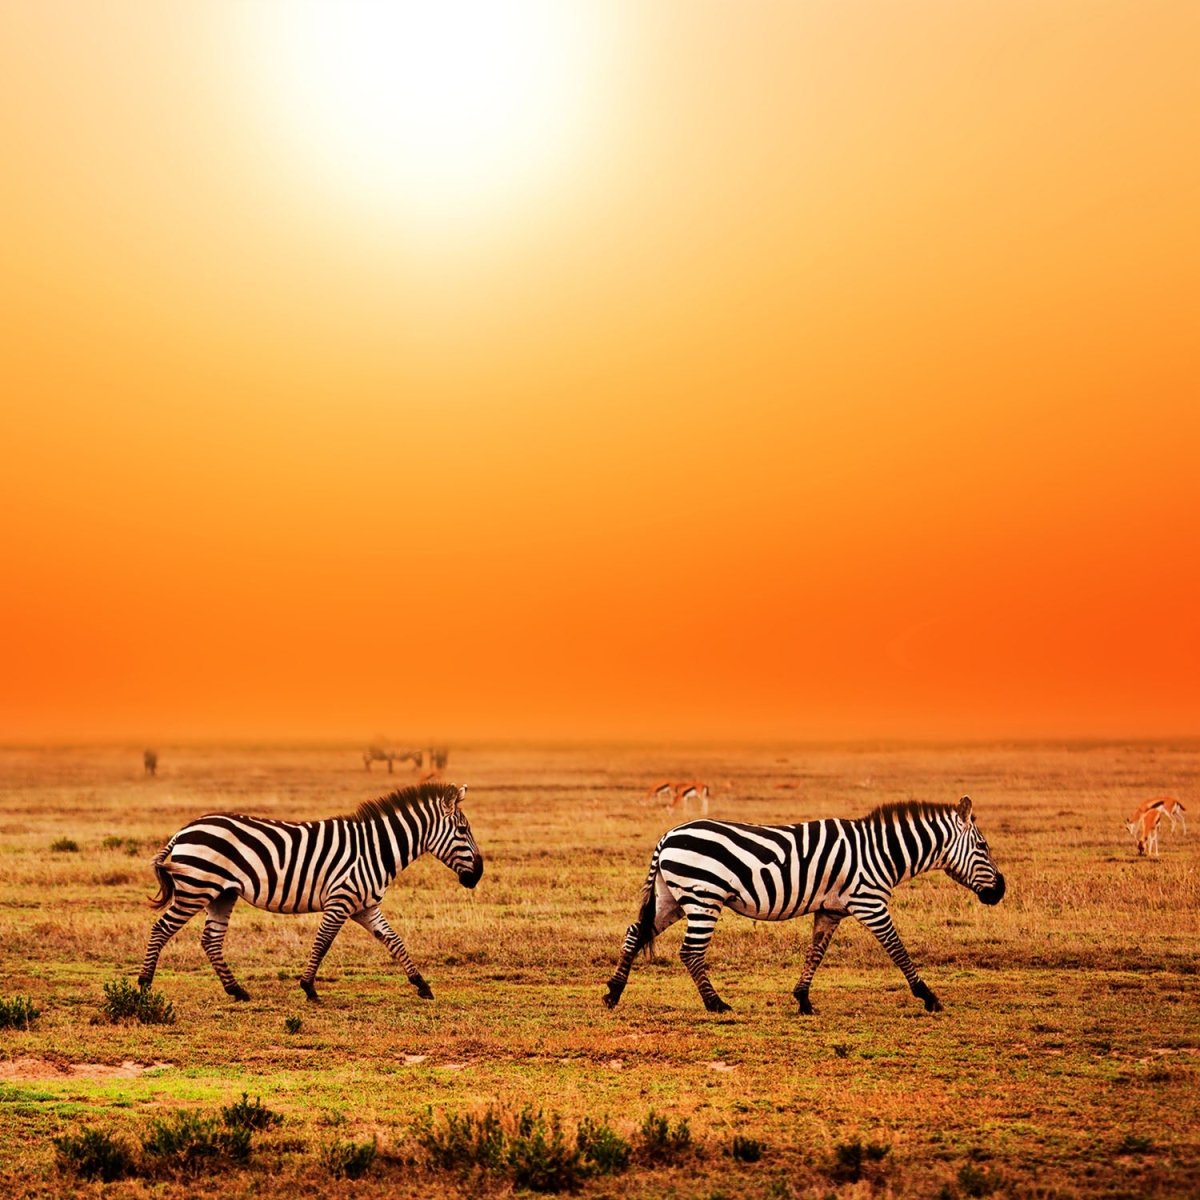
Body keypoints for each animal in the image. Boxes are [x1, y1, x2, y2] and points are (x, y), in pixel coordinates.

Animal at [137, 781, 483, 1004]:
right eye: (463, 830)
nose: (478, 875)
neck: (375, 849)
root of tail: (184, 830)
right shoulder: (341, 900)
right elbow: (323, 942)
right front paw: (309, 988)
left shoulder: (365, 906)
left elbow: (394, 941)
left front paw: (422, 985)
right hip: (196, 888)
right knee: (161, 929)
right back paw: (144, 985)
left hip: (222, 893)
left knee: (210, 940)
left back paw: (237, 991)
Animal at [603, 795, 1004, 1015]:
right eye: (983, 846)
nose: (1000, 891)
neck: (882, 852)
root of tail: (668, 835)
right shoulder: (870, 902)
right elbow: (898, 949)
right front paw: (929, 997)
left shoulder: (831, 909)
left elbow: (815, 953)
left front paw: (803, 1000)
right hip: (703, 897)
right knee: (690, 951)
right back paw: (716, 1004)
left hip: (671, 897)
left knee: (636, 931)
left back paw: (613, 992)